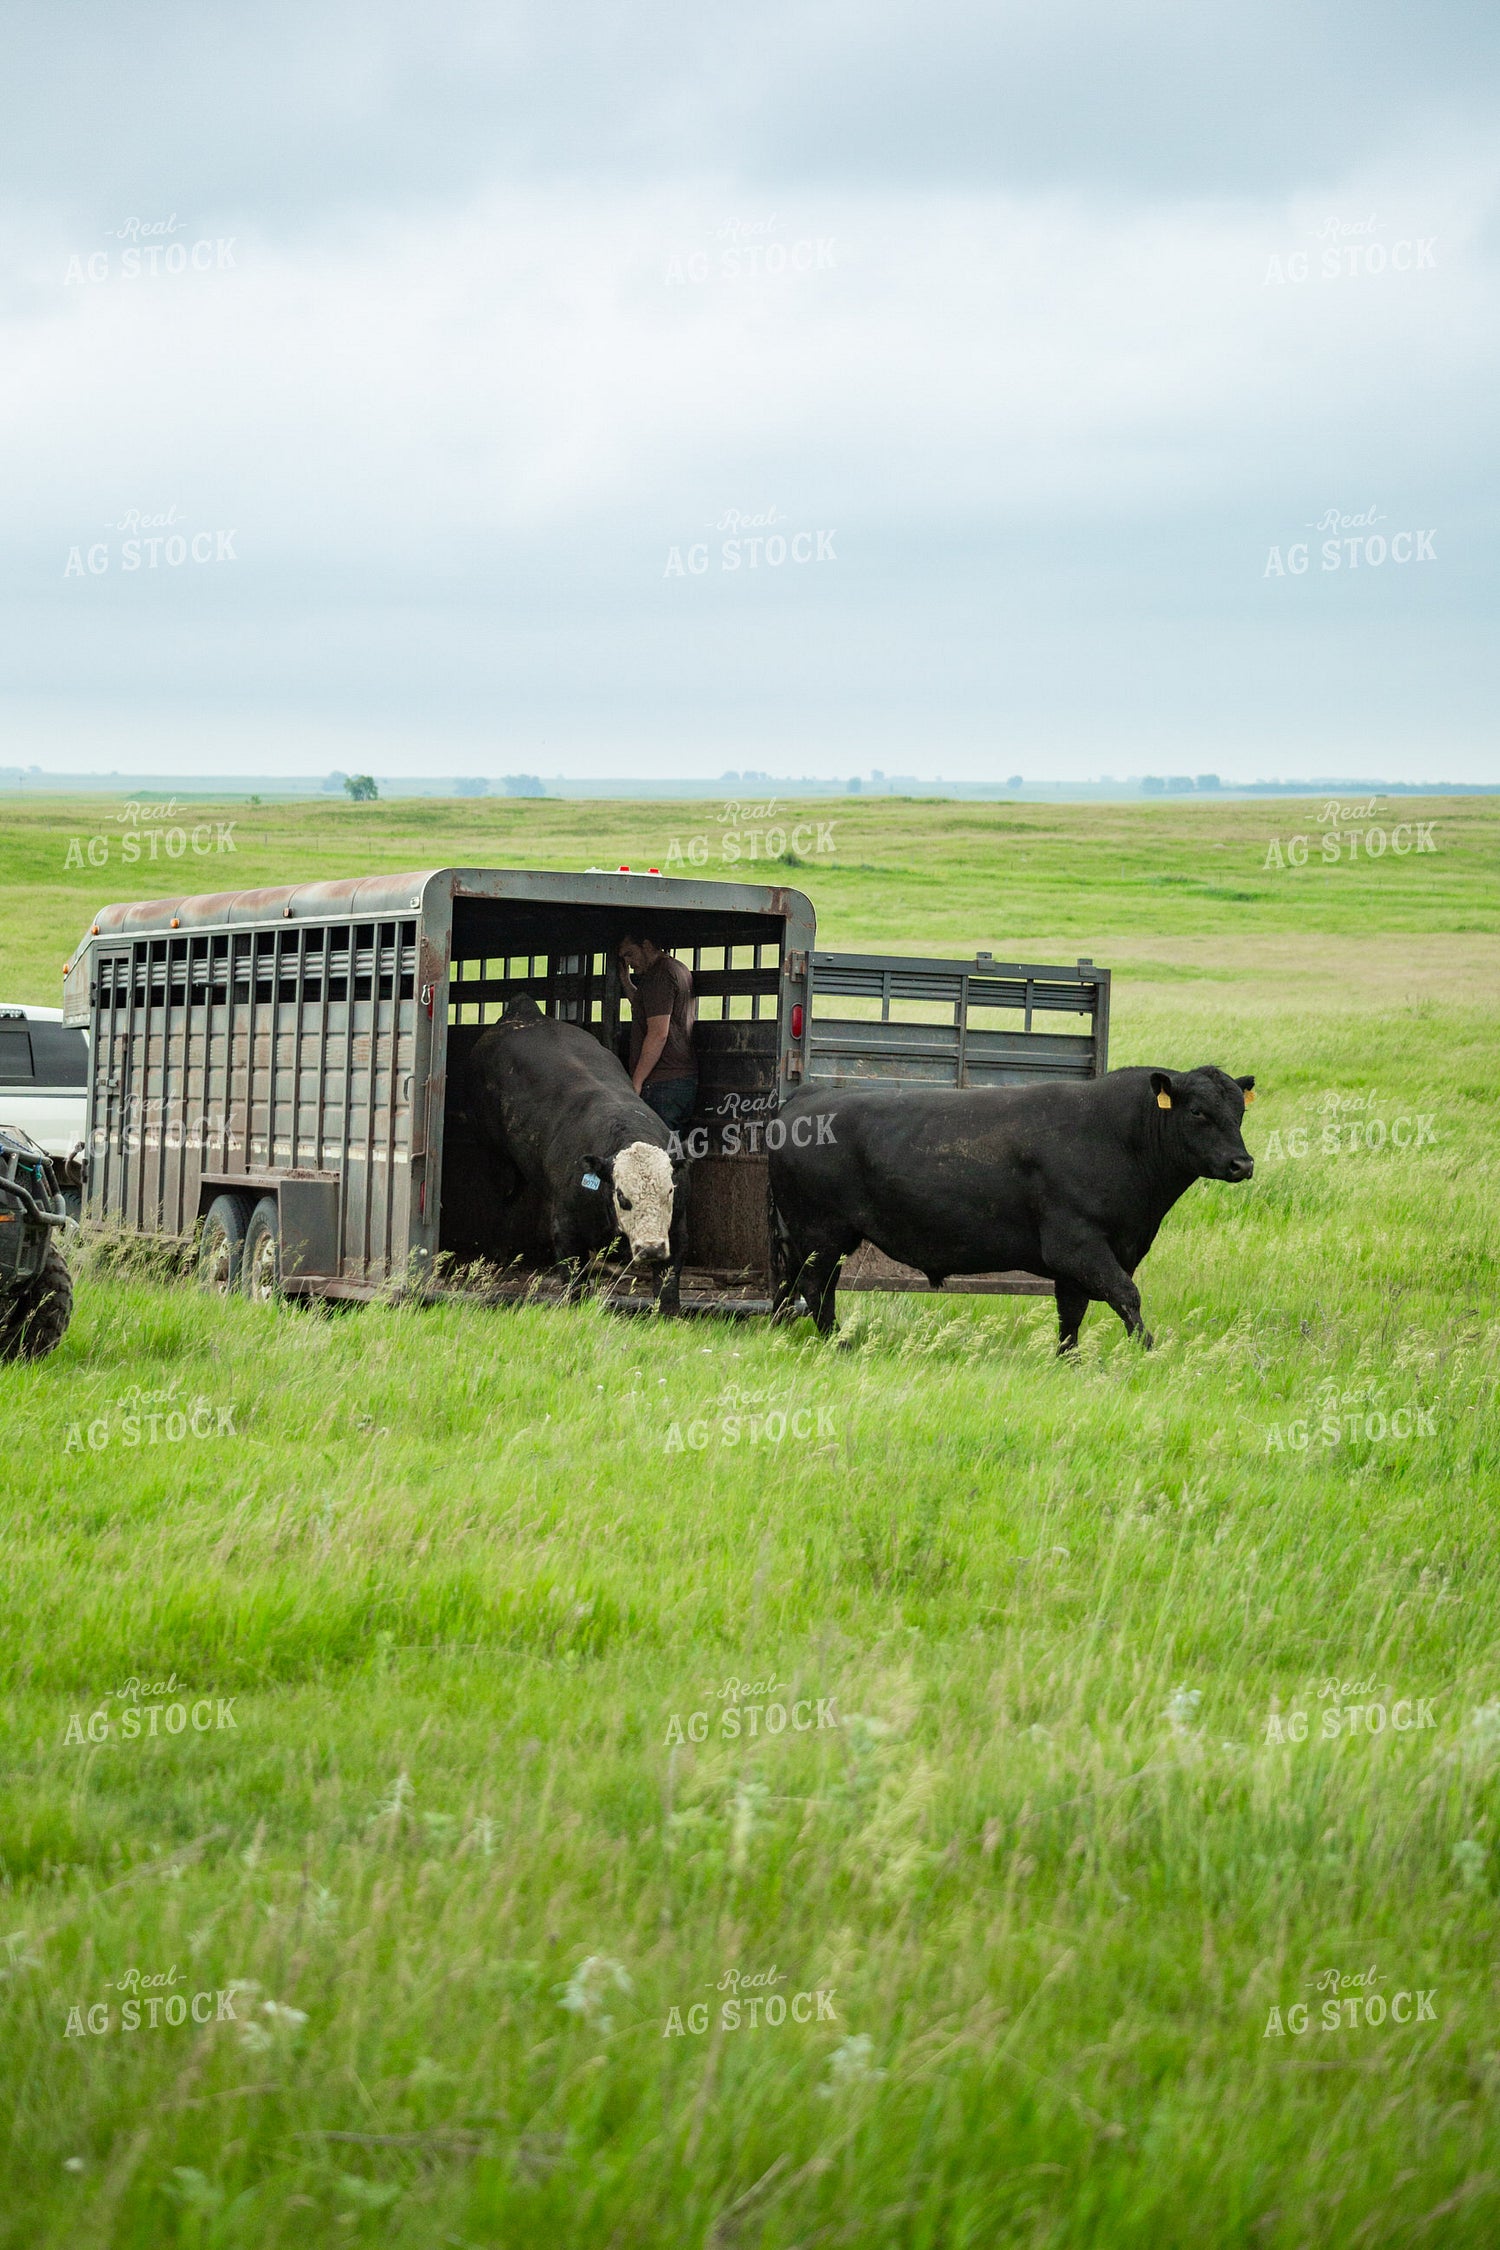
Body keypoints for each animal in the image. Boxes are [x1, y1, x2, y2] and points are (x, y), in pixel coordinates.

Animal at [467, 996, 690, 1309]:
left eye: (668, 1191)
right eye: (623, 1196)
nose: (652, 1248)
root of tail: (523, 1012)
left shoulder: (676, 1230)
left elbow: (668, 1286)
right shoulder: (567, 1228)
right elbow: (575, 1281)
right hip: (497, 1157)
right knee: (504, 1199)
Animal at [768, 1065, 1255, 1350]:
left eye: (1240, 1113)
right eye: (1197, 1112)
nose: (1242, 1163)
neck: (1120, 1136)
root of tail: (809, 1095)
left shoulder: (1082, 1262)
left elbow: (1071, 1313)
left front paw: (1068, 1360)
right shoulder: (1077, 1245)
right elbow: (1125, 1295)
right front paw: (1147, 1350)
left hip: (813, 1237)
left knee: (795, 1282)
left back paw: (780, 1330)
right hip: (823, 1233)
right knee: (815, 1287)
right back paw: (838, 1344)